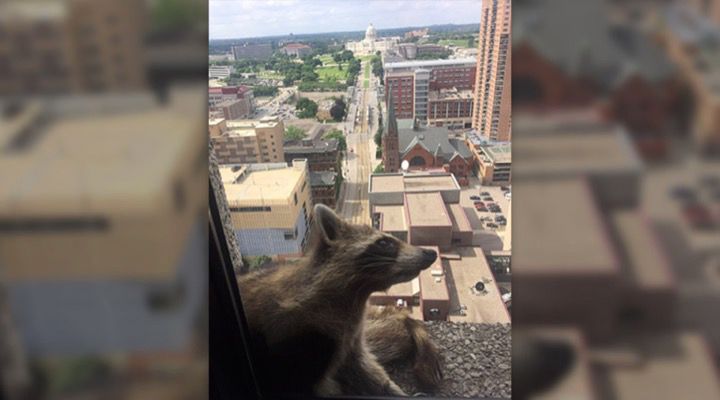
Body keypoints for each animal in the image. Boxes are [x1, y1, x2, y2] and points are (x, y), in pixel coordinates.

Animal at [239, 205, 442, 398]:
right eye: (384, 242)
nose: (430, 253)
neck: (355, 295)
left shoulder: (350, 336)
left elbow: (362, 369)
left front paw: (391, 390)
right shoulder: (297, 338)